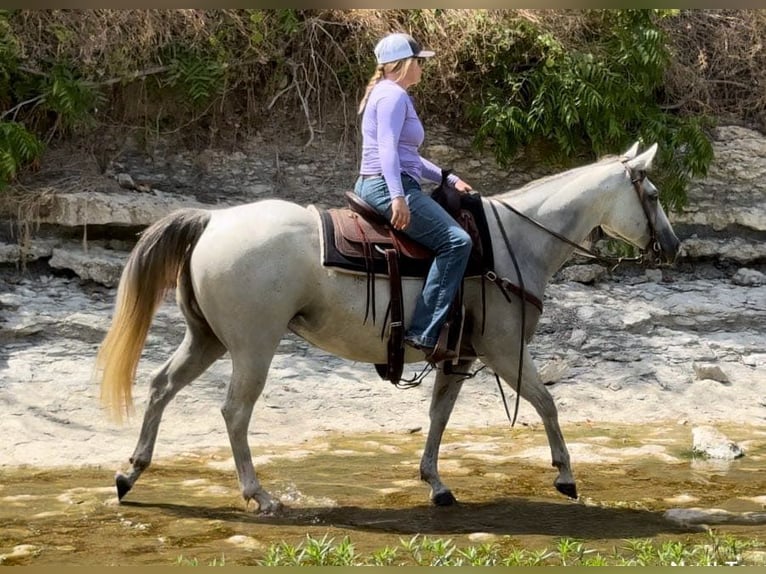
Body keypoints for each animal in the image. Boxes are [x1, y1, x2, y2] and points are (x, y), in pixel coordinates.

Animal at [94, 142, 680, 513]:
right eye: (652, 196)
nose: (673, 247)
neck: (511, 241)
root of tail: (213, 220)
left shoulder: (460, 355)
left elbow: (439, 416)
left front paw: (436, 484)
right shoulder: (502, 348)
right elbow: (547, 403)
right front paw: (565, 476)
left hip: (207, 339)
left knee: (161, 387)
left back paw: (129, 473)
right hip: (252, 347)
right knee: (234, 413)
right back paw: (258, 495)